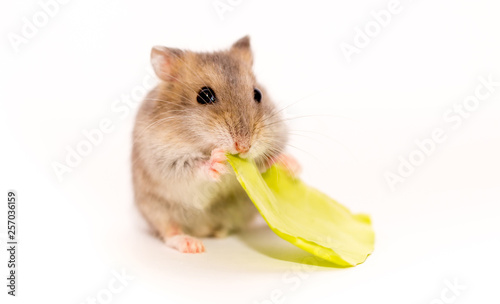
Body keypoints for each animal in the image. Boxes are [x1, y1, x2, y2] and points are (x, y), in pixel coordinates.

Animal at [131, 35, 298, 253]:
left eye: (258, 94)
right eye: (204, 95)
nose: (244, 147)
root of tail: (203, 229)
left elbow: (268, 160)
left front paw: (291, 165)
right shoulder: (163, 160)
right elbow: (191, 168)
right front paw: (217, 160)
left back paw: (220, 233)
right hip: (156, 209)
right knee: (170, 231)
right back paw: (192, 245)